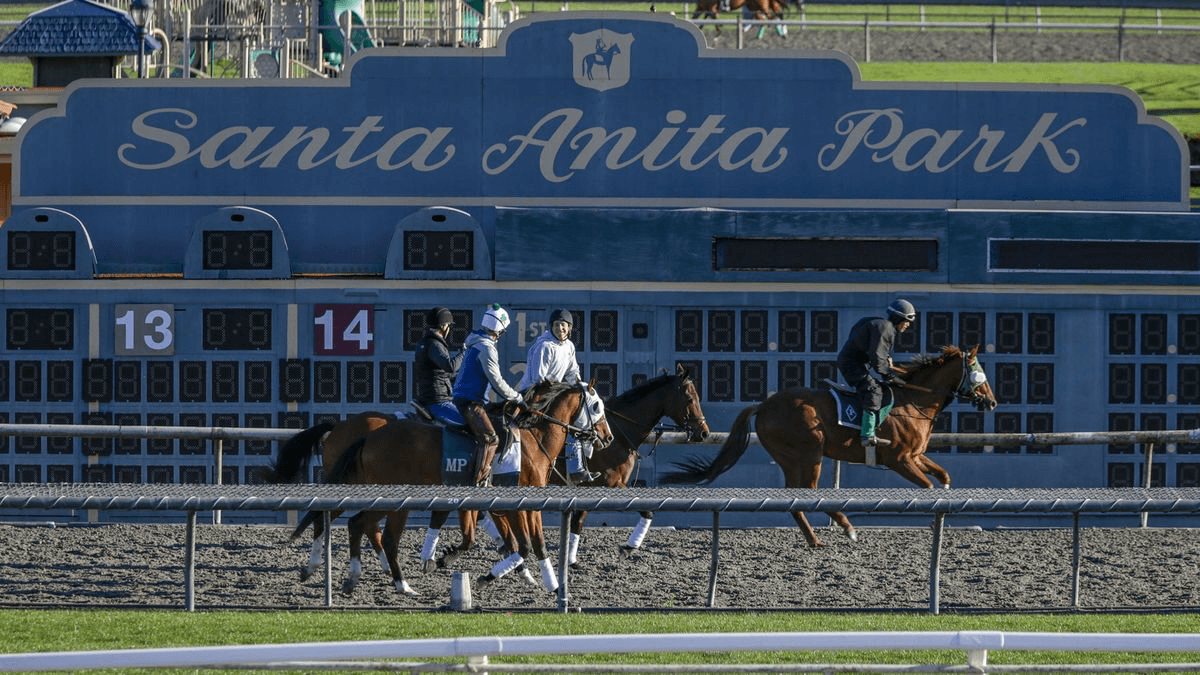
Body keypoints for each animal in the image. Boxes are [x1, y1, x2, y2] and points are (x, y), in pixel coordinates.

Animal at [662, 343, 998, 542]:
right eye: (978, 372)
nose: (992, 401)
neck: (914, 399)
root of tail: (764, 405)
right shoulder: (899, 460)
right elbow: (928, 487)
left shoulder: (915, 456)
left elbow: (943, 476)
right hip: (809, 453)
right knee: (809, 492)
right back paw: (845, 527)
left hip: (792, 458)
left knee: (794, 496)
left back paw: (814, 538)